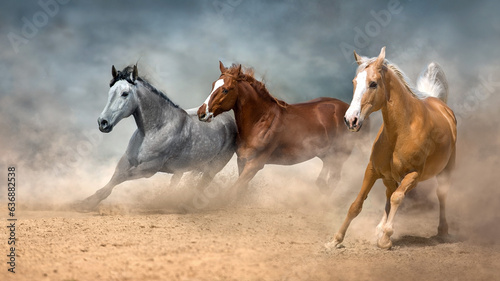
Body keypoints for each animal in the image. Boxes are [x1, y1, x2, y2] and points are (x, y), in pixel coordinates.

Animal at [75, 65, 236, 210]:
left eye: (125, 93)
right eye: (110, 92)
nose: (103, 123)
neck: (154, 129)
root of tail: (230, 121)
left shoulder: (149, 168)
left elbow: (122, 176)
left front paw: (87, 203)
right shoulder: (127, 160)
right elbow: (115, 177)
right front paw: (86, 202)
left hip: (212, 169)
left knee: (200, 186)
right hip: (184, 170)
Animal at [195, 61, 360, 197]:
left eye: (225, 90)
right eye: (213, 85)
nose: (201, 113)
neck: (260, 121)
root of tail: (349, 112)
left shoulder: (255, 165)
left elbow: (233, 190)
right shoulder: (241, 160)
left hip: (340, 155)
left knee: (334, 179)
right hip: (327, 155)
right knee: (323, 181)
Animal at [326, 47, 458, 248]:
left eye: (373, 84)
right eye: (355, 82)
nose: (350, 120)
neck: (402, 131)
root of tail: (439, 103)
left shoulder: (413, 175)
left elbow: (398, 198)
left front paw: (386, 239)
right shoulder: (372, 170)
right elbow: (357, 204)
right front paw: (335, 240)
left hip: (445, 171)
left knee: (440, 195)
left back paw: (442, 232)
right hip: (388, 176)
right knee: (389, 194)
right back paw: (378, 228)